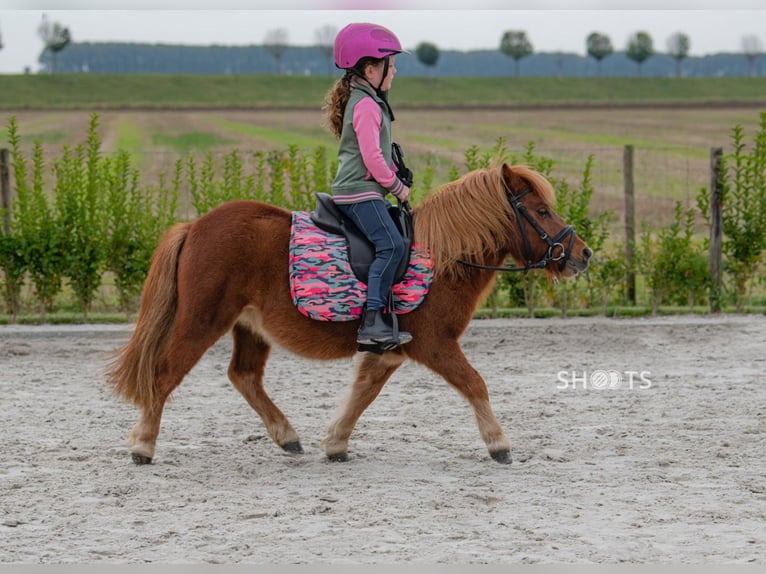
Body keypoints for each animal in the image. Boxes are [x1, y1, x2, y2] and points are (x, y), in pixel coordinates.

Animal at [108, 163, 592, 468]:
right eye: (542, 210)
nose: (583, 254)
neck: (443, 257)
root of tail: (195, 226)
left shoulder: (390, 349)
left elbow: (364, 391)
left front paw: (336, 442)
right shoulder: (435, 343)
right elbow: (475, 383)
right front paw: (499, 444)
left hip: (249, 326)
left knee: (243, 376)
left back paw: (287, 436)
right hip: (203, 320)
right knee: (165, 372)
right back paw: (143, 445)